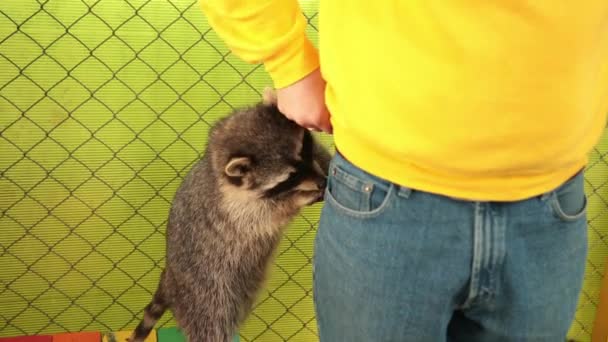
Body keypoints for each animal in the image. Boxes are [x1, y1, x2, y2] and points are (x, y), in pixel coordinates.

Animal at [125, 89, 330, 342]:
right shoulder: (233, 210)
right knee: (212, 325)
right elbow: (267, 215)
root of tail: (170, 278)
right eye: (290, 177)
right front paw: (299, 199)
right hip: (206, 296)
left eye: (305, 149)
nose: (320, 181)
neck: (216, 163)